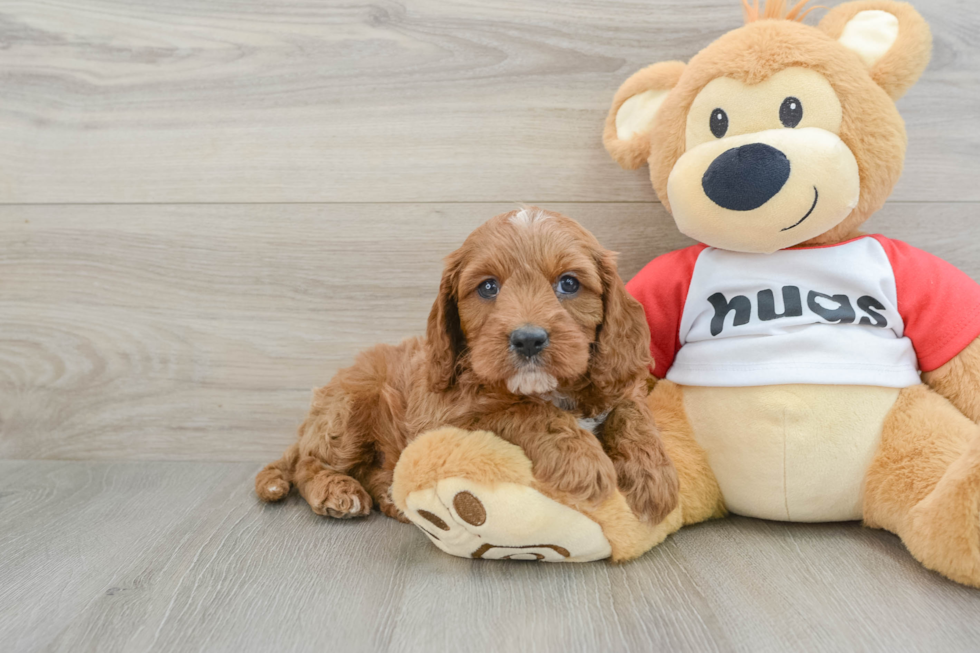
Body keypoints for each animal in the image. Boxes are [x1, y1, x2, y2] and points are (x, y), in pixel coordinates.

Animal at [256, 209, 676, 524]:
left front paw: (652, 477)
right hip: (351, 407)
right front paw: (583, 461)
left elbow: (633, 412)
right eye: (488, 287)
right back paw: (337, 491)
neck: (548, 387)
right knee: (307, 462)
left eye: (569, 284)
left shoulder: (617, 380)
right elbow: (525, 411)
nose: (528, 339)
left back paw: (391, 499)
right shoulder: (447, 417)